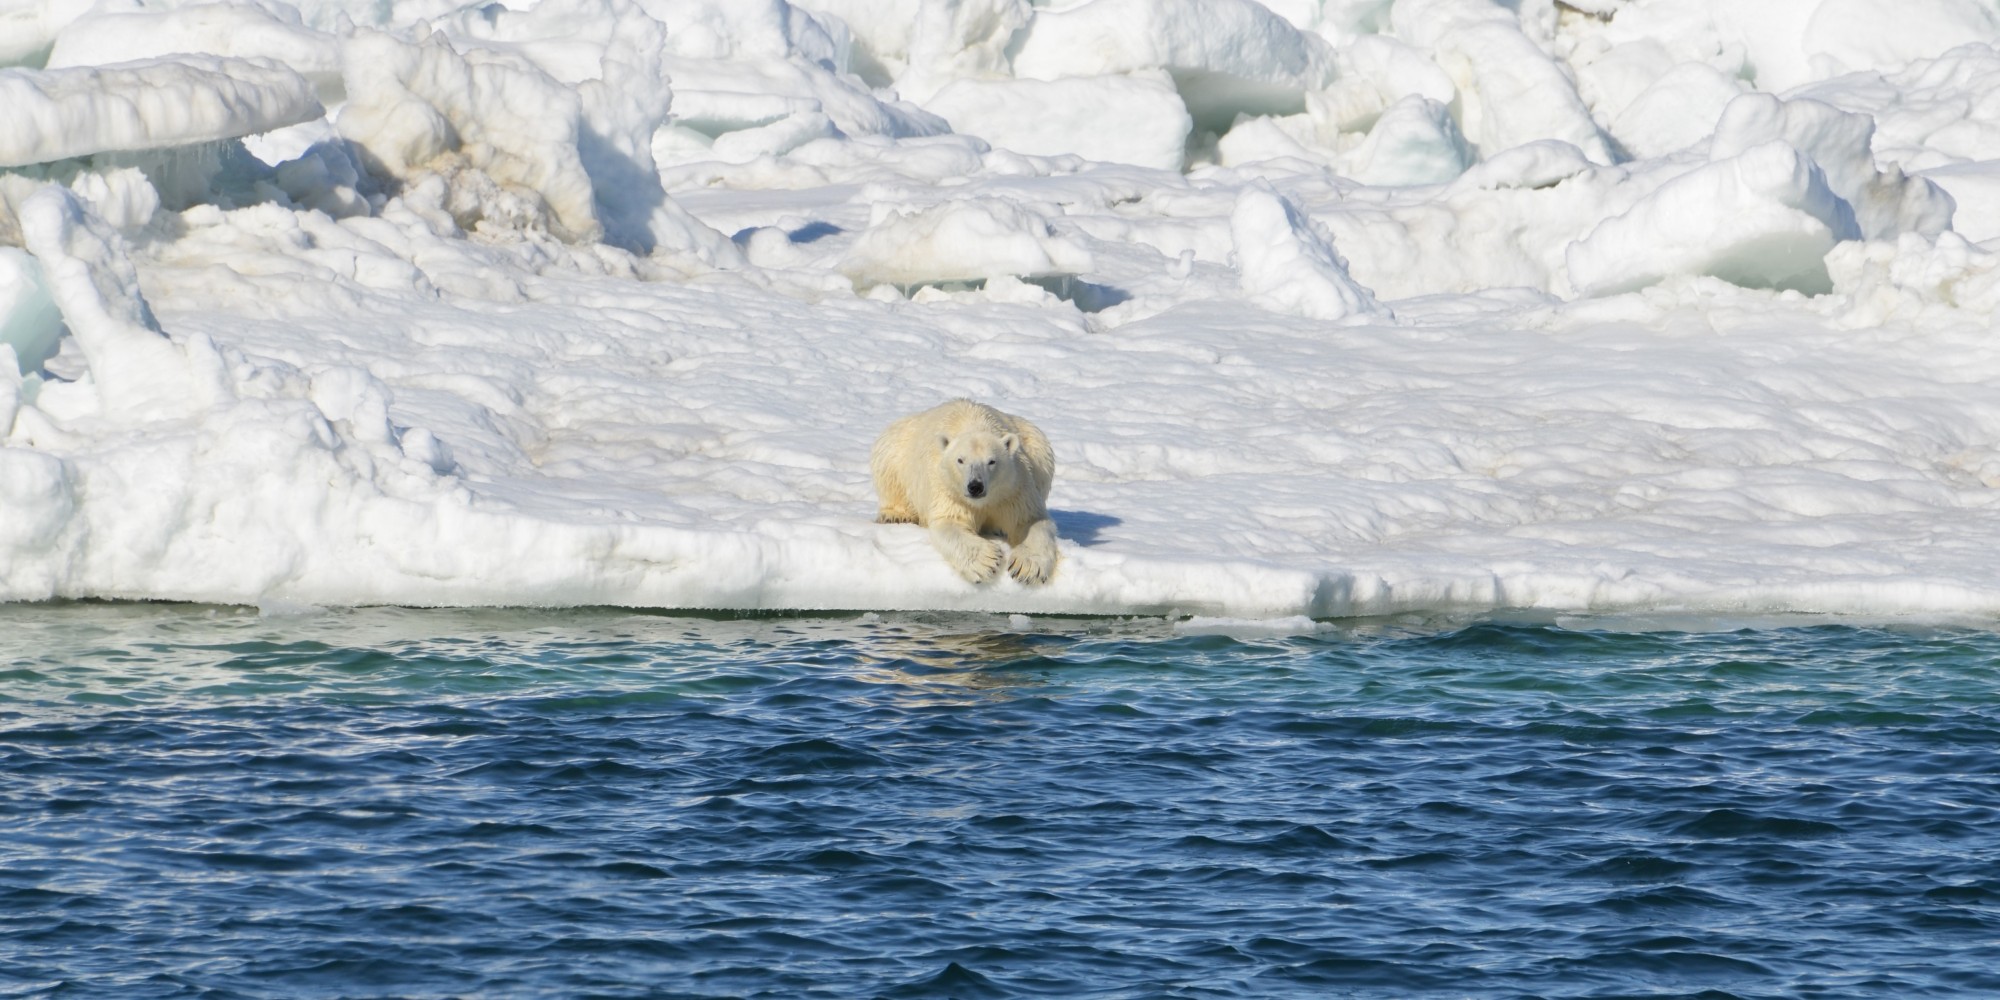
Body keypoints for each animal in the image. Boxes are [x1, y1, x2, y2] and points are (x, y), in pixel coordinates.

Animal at [871, 399, 1061, 585]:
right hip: (899, 445)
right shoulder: (949, 491)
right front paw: (986, 561)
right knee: (888, 464)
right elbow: (951, 522)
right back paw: (895, 515)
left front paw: (1027, 567)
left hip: (1035, 444)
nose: (975, 486)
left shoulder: (1013, 490)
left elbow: (1030, 520)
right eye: (960, 460)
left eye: (991, 461)